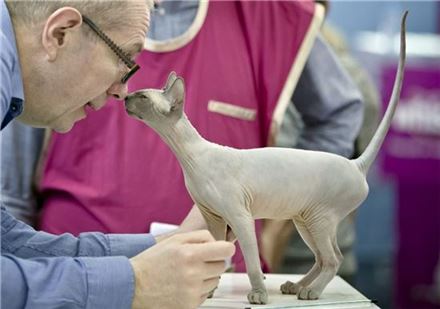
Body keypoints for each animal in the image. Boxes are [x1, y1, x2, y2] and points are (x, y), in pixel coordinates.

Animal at [125, 11, 408, 304]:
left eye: (142, 96)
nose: (124, 97)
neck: (191, 157)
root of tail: (355, 164)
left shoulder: (239, 217)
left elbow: (251, 262)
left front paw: (258, 294)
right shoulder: (214, 218)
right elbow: (214, 254)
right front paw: (208, 291)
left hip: (319, 218)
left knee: (333, 259)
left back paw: (311, 291)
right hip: (304, 220)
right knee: (321, 257)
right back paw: (296, 286)